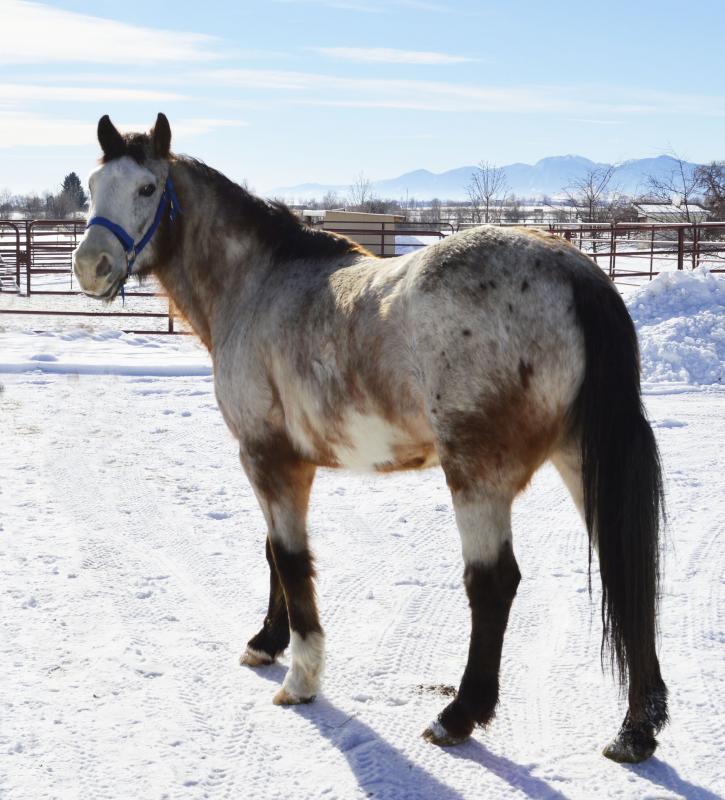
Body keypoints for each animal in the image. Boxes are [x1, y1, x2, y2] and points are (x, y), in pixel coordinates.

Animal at [72, 113, 668, 763]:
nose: (90, 265)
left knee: (494, 585)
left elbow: (290, 559)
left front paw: (301, 676)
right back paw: (636, 729)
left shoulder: (265, 456)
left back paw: (459, 715)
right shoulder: (286, 462)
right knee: (625, 568)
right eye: (93, 186)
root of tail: (575, 272)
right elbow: (274, 553)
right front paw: (268, 640)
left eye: (148, 188)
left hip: (477, 476)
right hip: (579, 461)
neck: (257, 284)